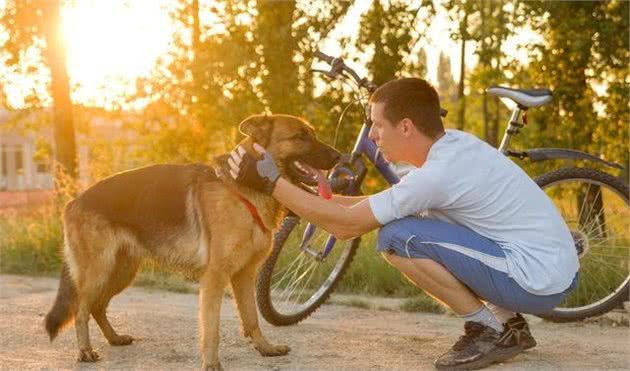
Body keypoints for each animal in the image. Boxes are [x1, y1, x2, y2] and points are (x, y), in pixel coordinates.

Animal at [45, 115, 340, 370]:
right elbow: (212, 328)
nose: (340, 157)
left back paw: (114, 338)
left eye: (312, 134)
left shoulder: (244, 276)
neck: (243, 190)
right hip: (99, 272)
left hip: (121, 272)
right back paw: (85, 351)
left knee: (97, 306)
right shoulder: (215, 278)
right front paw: (211, 364)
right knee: (81, 310)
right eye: (301, 136)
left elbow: (252, 318)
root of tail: (74, 201)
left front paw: (265, 348)